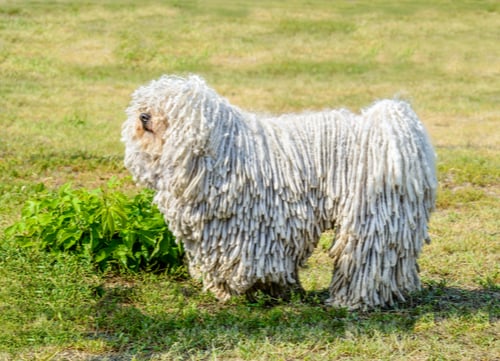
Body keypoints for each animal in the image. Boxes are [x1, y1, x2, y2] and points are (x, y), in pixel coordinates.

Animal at [120, 74, 434, 310]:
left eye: (170, 107)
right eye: (145, 103)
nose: (144, 116)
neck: (219, 150)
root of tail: (394, 132)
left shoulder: (249, 228)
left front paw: (244, 291)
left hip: (370, 216)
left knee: (365, 259)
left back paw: (352, 300)